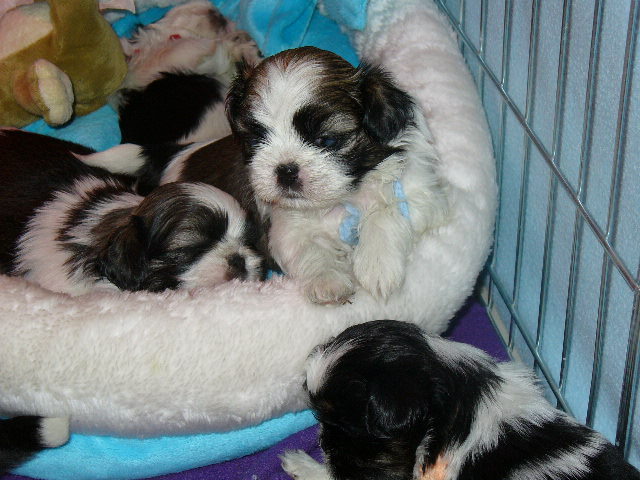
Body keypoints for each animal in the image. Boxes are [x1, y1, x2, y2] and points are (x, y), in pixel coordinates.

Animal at [226, 46, 450, 304]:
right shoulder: (284, 226)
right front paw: (328, 280)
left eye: (327, 141)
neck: (345, 198)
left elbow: (386, 211)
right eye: (256, 140)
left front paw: (377, 266)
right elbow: (304, 246)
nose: (286, 170)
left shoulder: (424, 194)